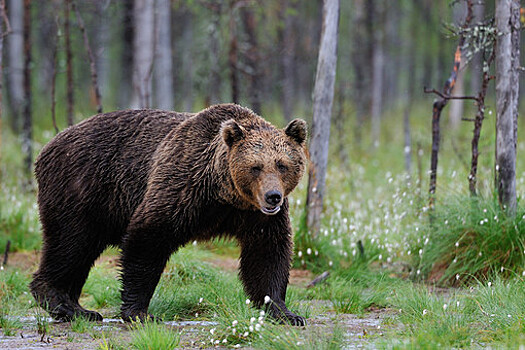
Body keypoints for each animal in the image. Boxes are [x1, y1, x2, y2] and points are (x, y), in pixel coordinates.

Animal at [29, 103, 308, 326]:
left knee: (79, 250)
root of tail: (48, 145)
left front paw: (285, 313)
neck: (224, 194)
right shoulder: (183, 186)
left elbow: (267, 254)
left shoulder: (256, 216)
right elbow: (148, 237)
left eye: (282, 164)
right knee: (71, 243)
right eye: (255, 167)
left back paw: (79, 308)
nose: (273, 196)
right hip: (81, 188)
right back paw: (63, 304)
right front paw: (140, 312)